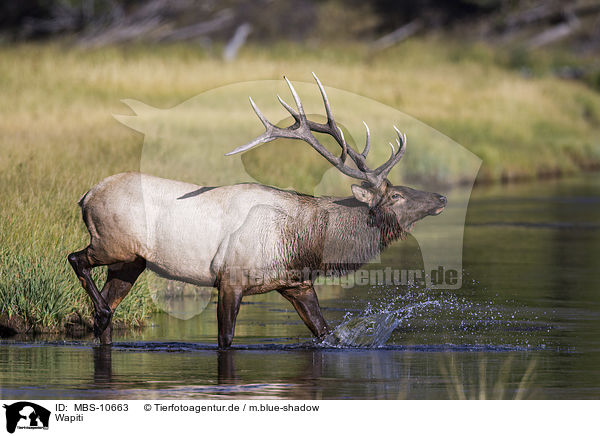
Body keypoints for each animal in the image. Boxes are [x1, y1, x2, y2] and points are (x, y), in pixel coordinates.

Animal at [69, 74, 446, 348]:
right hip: (112, 243)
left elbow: (325, 332)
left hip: (131, 262)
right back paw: (100, 310)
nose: (441, 198)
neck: (304, 242)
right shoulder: (230, 278)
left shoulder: (296, 283)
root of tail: (86, 196)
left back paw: (102, 320)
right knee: (76, 259)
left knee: (106, 307)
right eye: (396, 195)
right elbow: (225, 339)